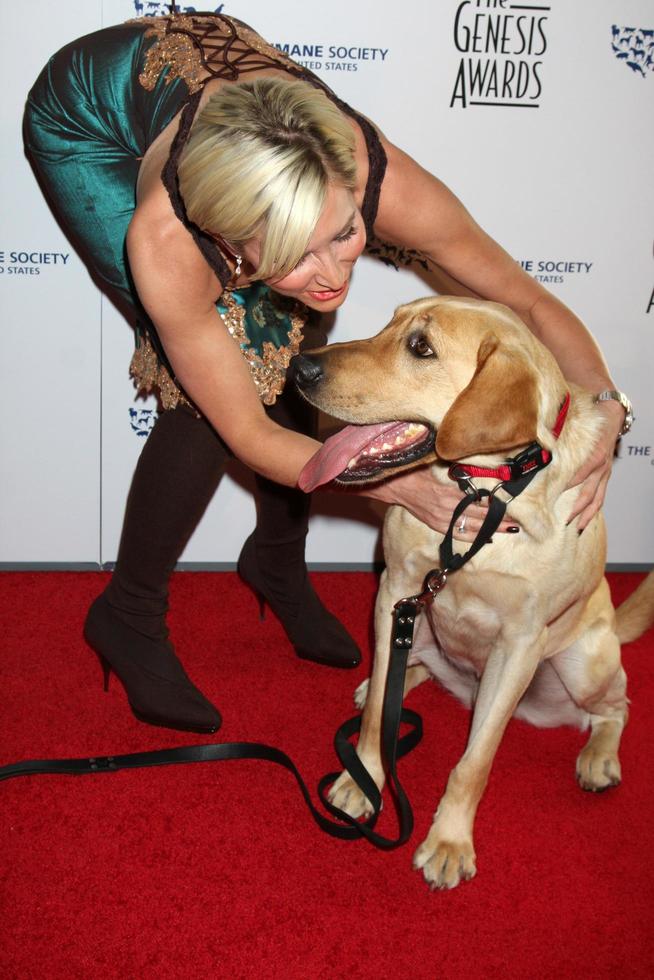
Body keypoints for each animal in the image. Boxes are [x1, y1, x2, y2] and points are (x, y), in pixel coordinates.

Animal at [294, 296, 652, 888]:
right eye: (389, 323)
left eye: (421, 347)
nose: (300, 367)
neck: (482, 493)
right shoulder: (395, 591)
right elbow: (379, 718)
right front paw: (363, 779)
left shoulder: (521, 643)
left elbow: (474, 761)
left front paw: (449, 841)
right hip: (414, 625)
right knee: (407, 673)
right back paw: (383, 684)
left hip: (584, 663)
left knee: (615, 708)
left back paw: (600, 757)